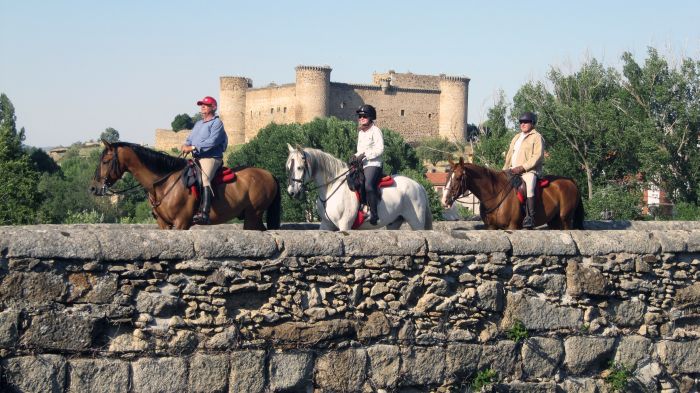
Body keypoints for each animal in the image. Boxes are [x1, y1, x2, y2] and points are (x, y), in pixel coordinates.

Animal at [90, 140, 282, 230]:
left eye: (106, 161)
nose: (93, 187)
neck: (164, 183)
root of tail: (269, 174)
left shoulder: (181, 222)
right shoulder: (163, 224)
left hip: (253, 215)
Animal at [286, 144, 432, 230]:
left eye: (299, 167)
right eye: (288, 167)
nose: (292, 192)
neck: (331, 188)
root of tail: (418, 185)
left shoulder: (344, 226)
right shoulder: (326, 224)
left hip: (416, 223)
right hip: (394, 223)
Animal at [442, 157, 584, 230]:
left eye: (458, 178)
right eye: (447, 176)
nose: (444, 200)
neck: (495, 194)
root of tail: (571, 181)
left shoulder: (513, 226)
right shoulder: (491, 227)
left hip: (565, 219)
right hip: (554, 221)